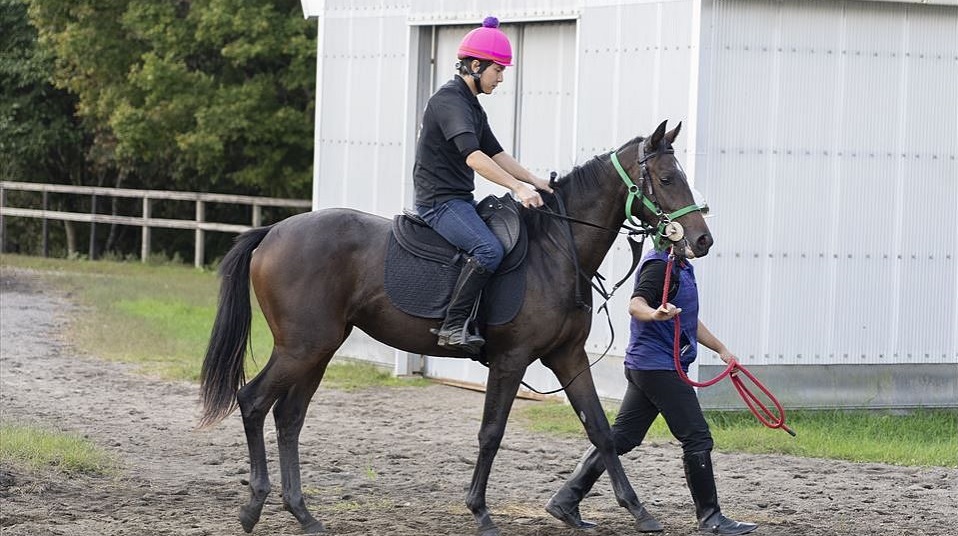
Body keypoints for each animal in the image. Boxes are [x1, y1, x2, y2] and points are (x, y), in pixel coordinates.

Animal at [201, 119, 712, 532]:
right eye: (668, 178)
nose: (703, 240)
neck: (555, 249)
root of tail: (274, 231)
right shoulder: (511, 360)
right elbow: (491, 433)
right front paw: (480, 512)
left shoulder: (567, 357)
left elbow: (602, 432)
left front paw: (639, 511)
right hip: (301, 348)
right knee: (253, 402)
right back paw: (254, 506)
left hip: (318, 351)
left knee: (289, 418)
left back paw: (303, 514)